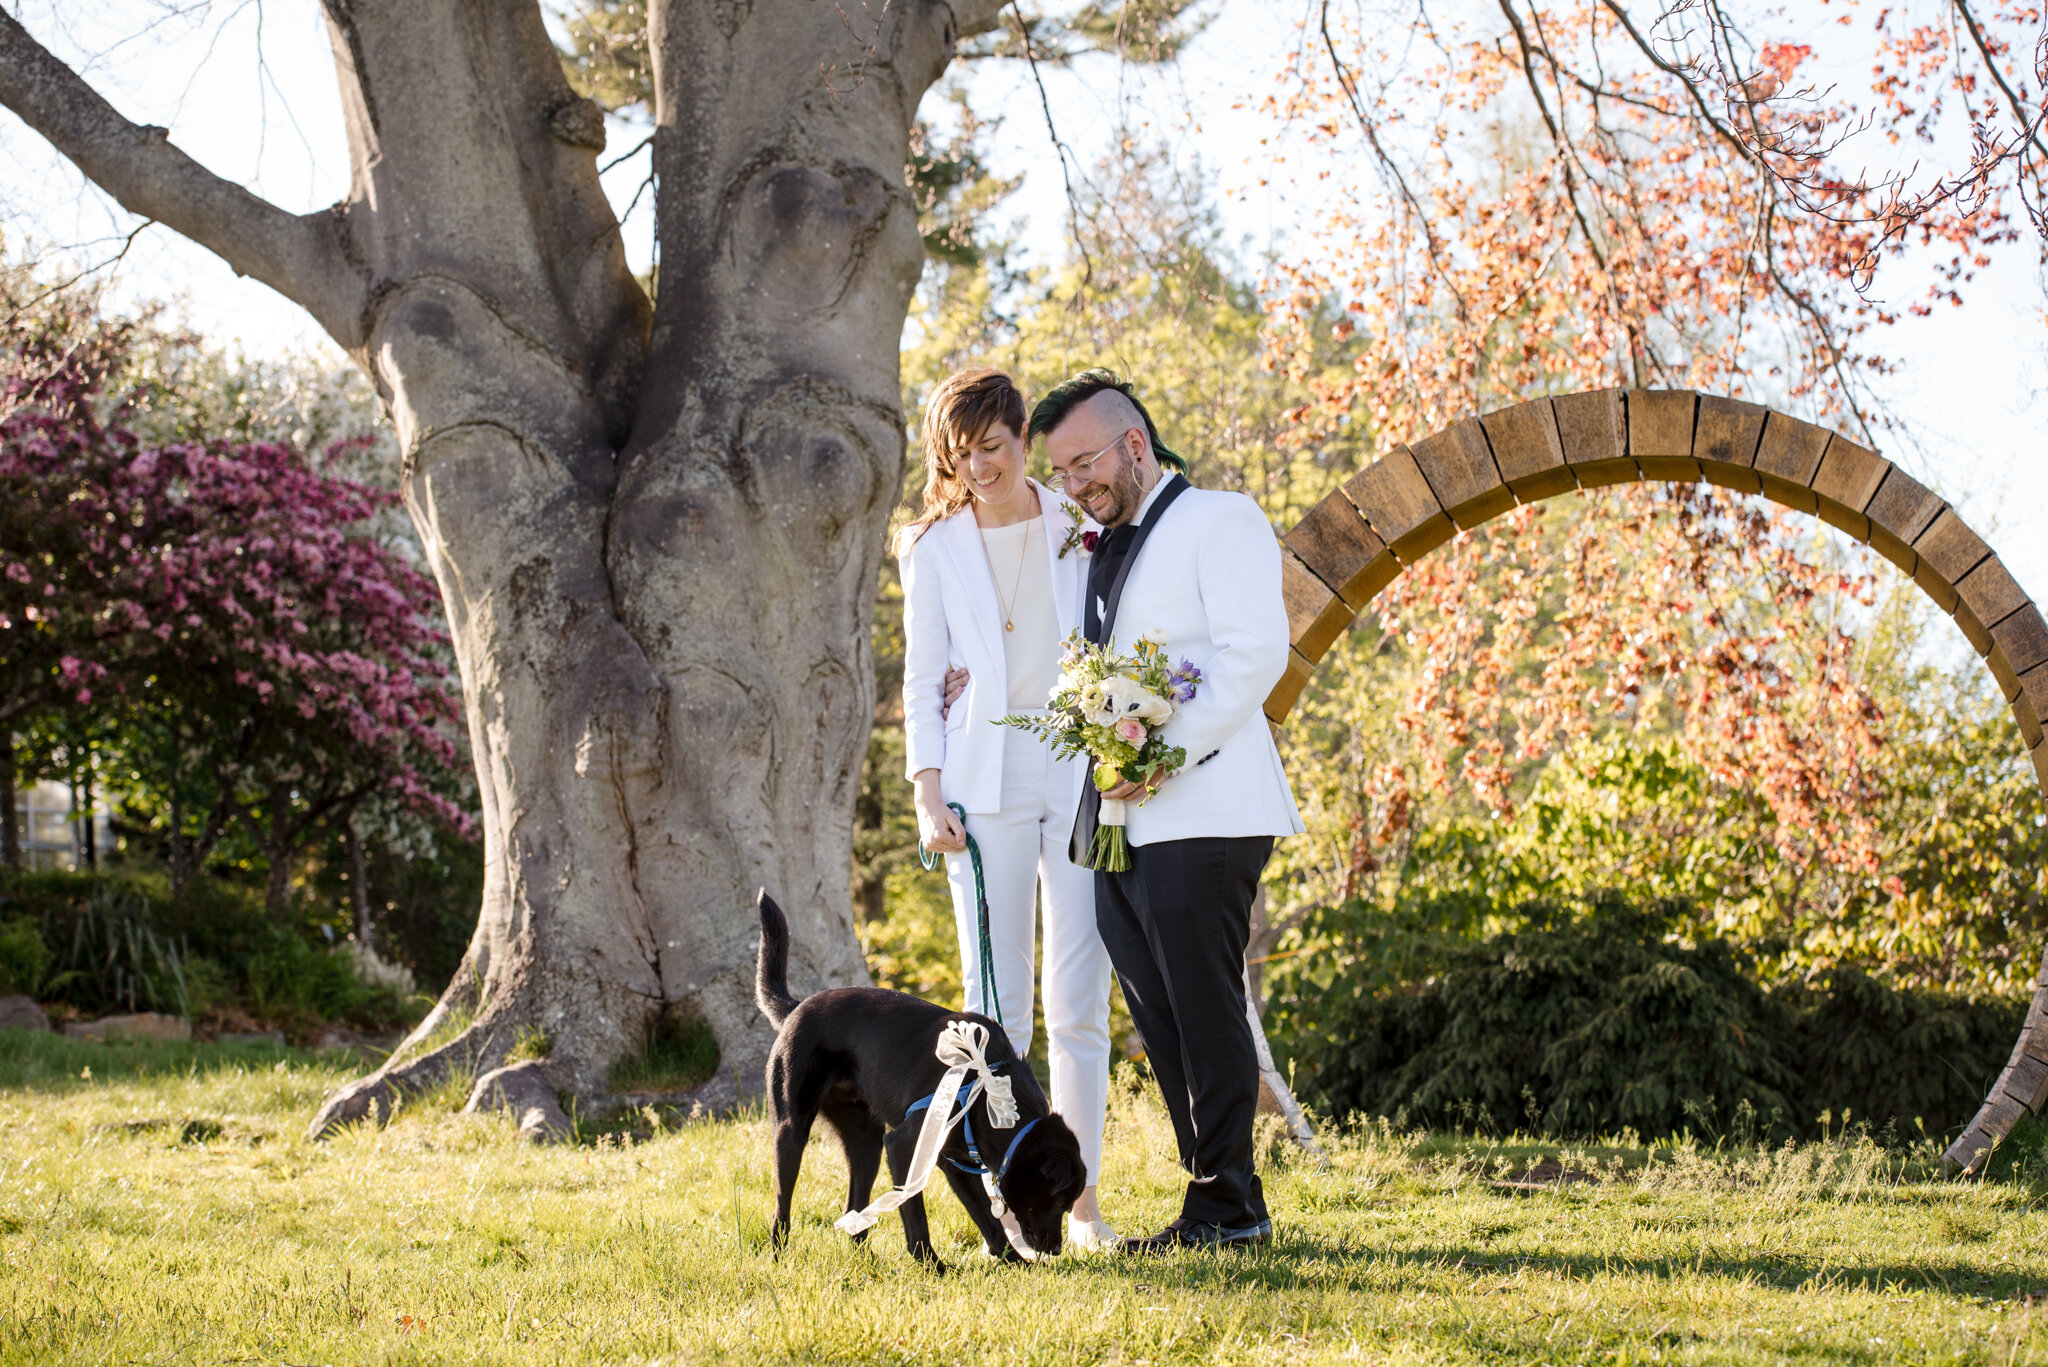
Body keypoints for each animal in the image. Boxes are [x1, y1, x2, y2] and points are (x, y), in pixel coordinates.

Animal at [749, 893, 1081, 1270]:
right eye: (1058, 1201)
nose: (1056, 1250)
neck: (985, 1084)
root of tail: (796, 1008)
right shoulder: (904, 1145)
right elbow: (914, 1210)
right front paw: (932, 1265)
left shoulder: (955, 1162)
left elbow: (986, 1217)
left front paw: (1014, 1261)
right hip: (792, 1131)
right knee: (781, 1207)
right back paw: (779, 1258)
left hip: (866, 1143)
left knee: (854, 1211)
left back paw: (867, 1265)